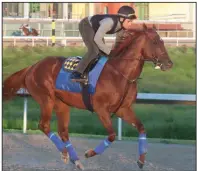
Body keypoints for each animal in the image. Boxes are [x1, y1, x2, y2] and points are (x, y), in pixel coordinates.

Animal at [2, 24, 172, 170]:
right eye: (155, 41)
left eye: (163, 41)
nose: (169, 64)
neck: (119, 73)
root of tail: (32, 67)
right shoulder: (101, 108)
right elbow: (112, 135)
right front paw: (90, 153)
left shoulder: (123, 109)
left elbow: (141, 128)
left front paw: (141, 160)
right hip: (46, 99)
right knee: (44, 125)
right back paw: (65, 153)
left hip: (62, 104)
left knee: (63, 132)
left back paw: (75, 160)